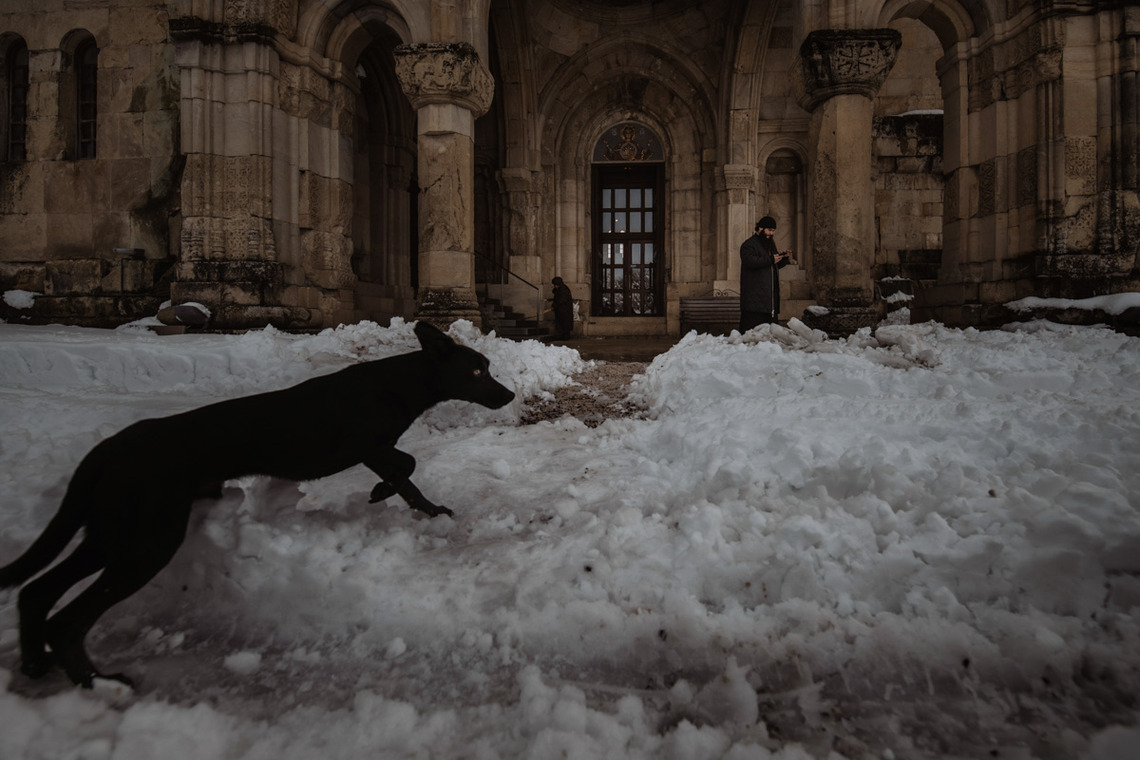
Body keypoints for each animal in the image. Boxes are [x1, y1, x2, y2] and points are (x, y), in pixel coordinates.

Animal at [0, 321, 515, 688]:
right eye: (477, 371)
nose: (509, 394)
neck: (396, 383)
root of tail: (105, 451)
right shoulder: (366, 445)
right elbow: (406, 464)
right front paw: (382, 493)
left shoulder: (374, 449)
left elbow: (408, 477)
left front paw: (426, 509)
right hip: (146, 542)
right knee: (66, 619)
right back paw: (97, 682)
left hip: (113, 534)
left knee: (35, 592)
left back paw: (36, 666)